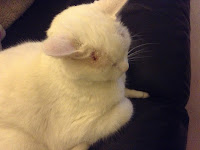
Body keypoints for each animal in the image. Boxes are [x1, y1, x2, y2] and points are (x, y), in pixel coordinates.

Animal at [0, 0, 147, 150]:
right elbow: (127, 107)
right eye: (97, 59)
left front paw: (139, 93)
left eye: (124, 38)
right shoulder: (70, 132)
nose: (126, 67)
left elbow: (128, 92)